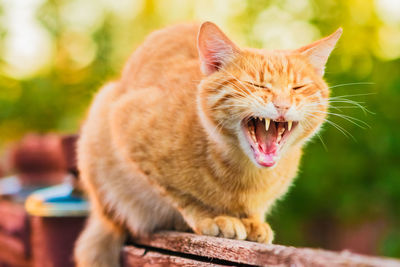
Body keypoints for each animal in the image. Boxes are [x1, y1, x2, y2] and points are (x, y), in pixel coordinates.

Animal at [74, 21, 340, 267]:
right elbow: (182, 196)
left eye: (298, 87)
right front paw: (211, 217)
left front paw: (253, 221)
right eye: (257, 85)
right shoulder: (125, 125)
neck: (247, 175)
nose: (282, 104)